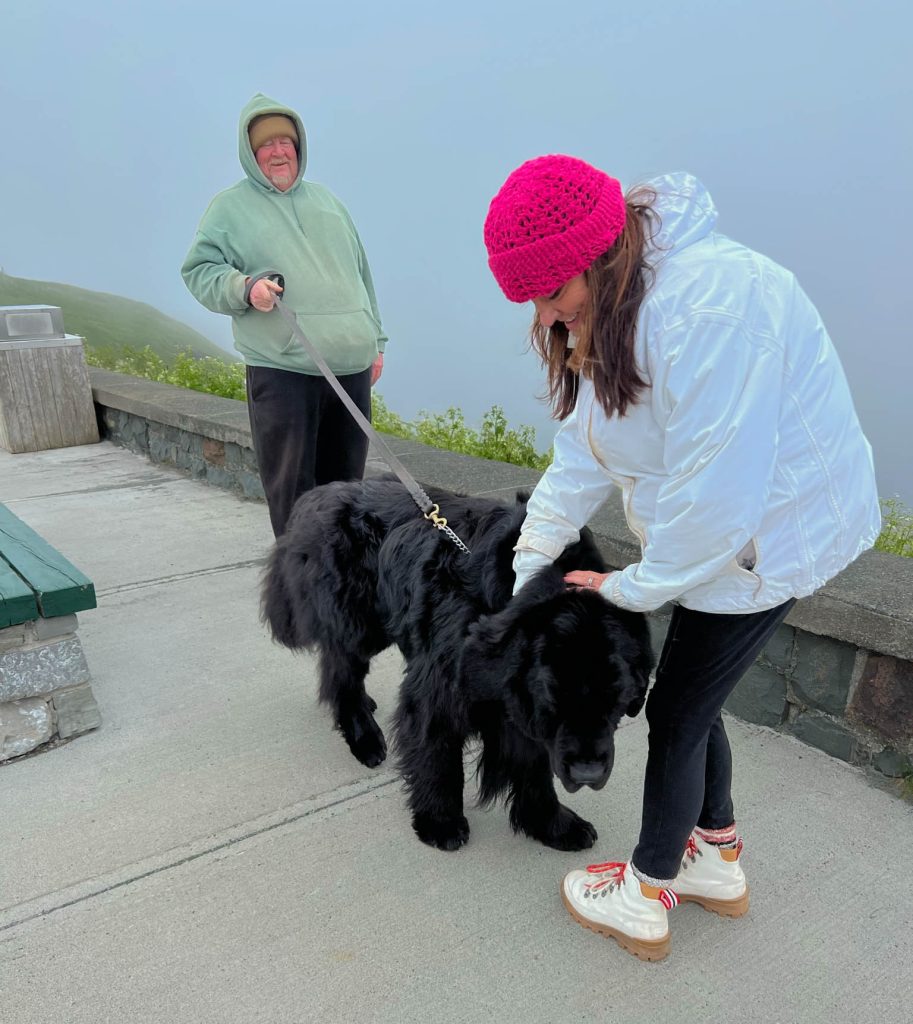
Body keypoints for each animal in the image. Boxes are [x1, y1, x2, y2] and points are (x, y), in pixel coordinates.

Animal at [259, 475, 650, 851]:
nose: (587, 774)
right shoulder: (441, 687)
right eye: (556, 698)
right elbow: (440, 756)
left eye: (616, 700)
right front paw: (441, 822)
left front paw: (552, 825)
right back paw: (365, 737)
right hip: (359, 622)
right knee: (342, 670)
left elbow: (535, 765)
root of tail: (319, 494)